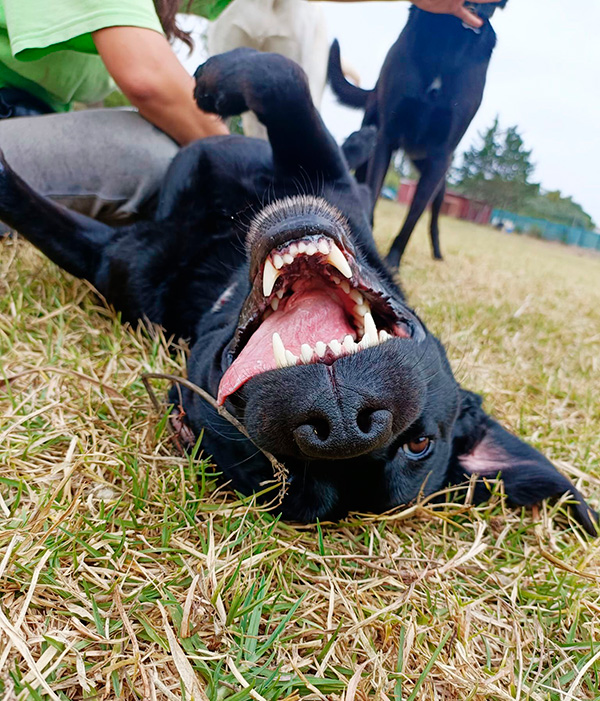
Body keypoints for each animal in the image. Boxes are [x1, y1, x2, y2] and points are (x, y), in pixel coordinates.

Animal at [0, 49, 596, 534]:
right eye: (419, 442)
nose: (346, 421)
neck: (222, 274)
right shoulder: (326, 181)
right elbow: (287, 81)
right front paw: (221, 83)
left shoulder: (107, 258)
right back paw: (361, 138)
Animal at [328, 1, 507, 267]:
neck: (449, 36)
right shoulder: (386, 139)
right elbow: (373, 194)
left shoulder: (441, 157)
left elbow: (413, 216)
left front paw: (393, 260)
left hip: (440, 184)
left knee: (434, 219)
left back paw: (438, 253)